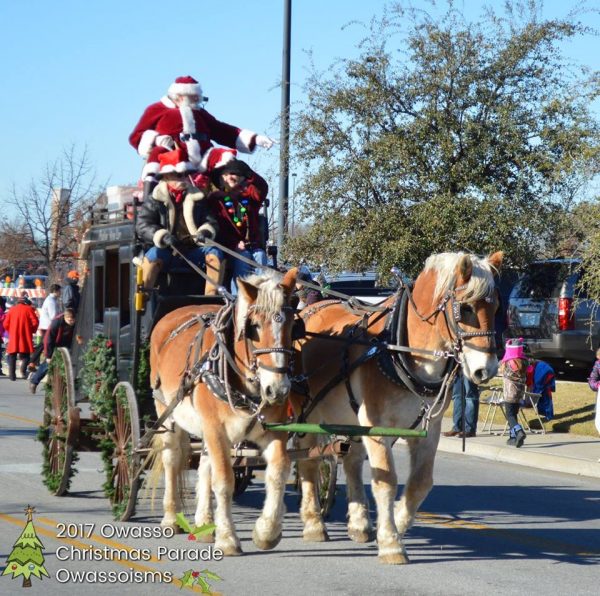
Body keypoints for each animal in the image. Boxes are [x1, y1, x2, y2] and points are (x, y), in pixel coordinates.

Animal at [149, 268, 298, 556]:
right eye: (254, 327)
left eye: (292, 325)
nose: (278, 389)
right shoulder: (216, 429)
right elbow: (224, 480)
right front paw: (228, 538)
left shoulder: (273, 431)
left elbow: (278, 471)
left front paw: (266, 531)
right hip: (167, 413)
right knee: (172, 458)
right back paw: (171, 517)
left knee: (205, 463)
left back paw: (205, 523)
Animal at [290, 250, 502, 564]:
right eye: (465, 309)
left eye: (497, 307)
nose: (485, 370)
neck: (401, 350)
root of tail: (310, 309)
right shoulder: (377, 424)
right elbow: (386, 480)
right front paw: (391, 542)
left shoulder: (430, 428)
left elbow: (420, 483)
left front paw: (396, 524)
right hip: (308, 412)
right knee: (308, 462)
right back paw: (314, 523)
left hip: (350, 417)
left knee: (351, 461)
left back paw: (359, 524)